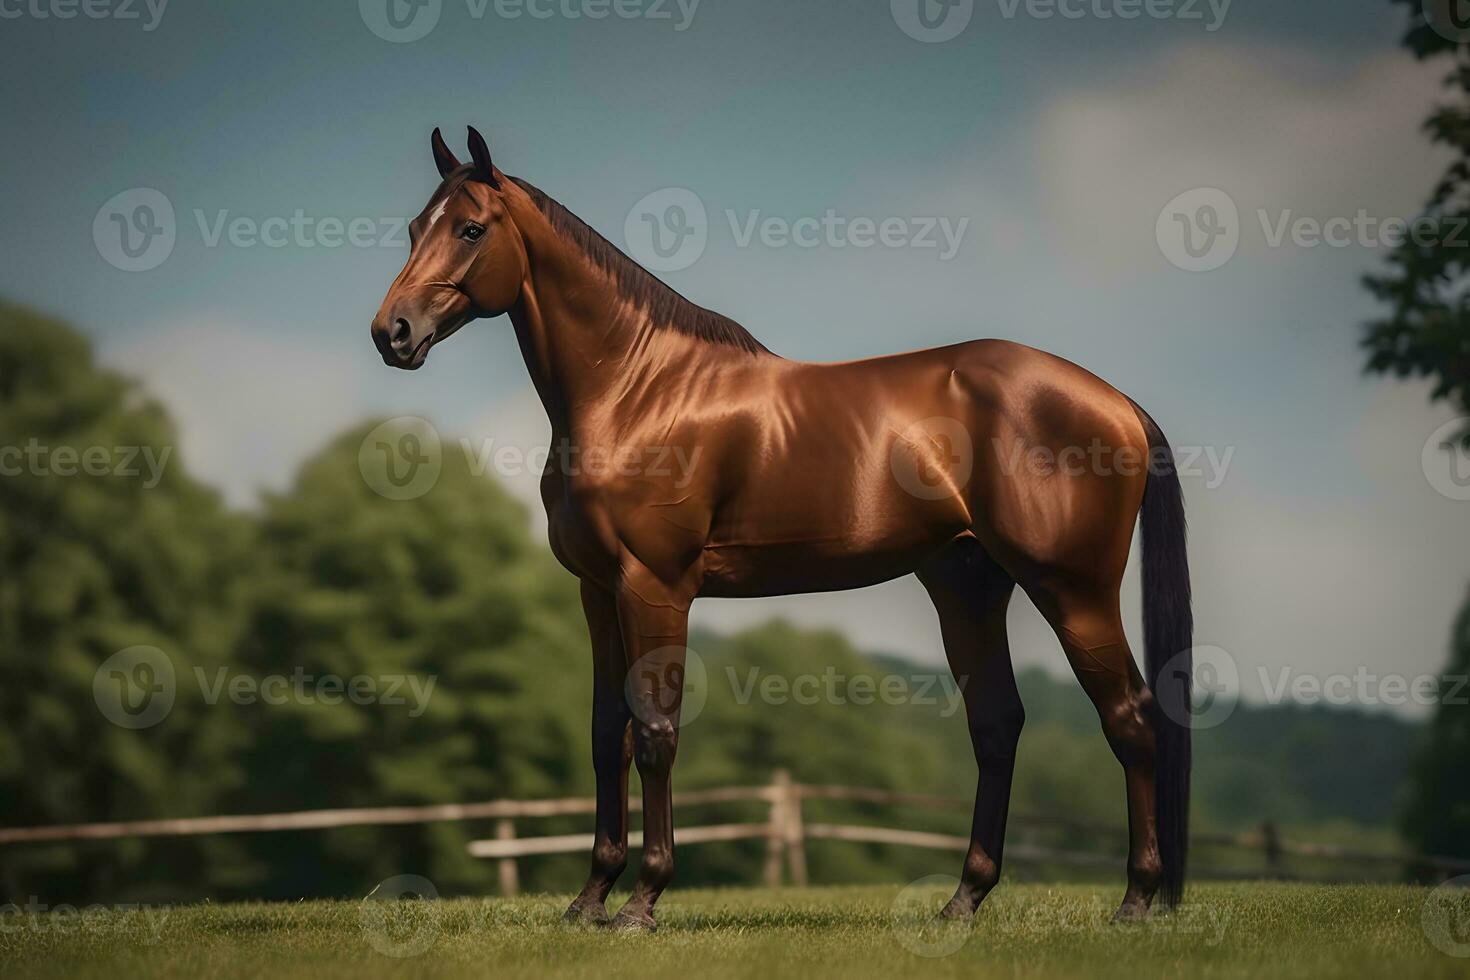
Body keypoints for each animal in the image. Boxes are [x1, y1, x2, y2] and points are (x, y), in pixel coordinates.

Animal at [370, 126, 1193, 934]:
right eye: (415, 228)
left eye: (471, 228)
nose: (392, 333)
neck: (638, 392)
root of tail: (1116, 401)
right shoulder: (597, 592)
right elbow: (609, 735)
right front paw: (589, 898)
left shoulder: (654, 586)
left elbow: (658, 733)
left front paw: (642, 901)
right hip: (968, 583)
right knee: (997, 726)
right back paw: (962, 901)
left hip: (1072, 590)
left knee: (1131, 719)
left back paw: (1134, 901)